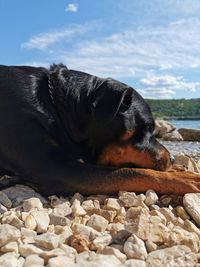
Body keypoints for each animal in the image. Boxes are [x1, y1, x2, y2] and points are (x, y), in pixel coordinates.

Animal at [0, 63, 199, 196]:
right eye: (148, 128)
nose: (172, 159)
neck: (57, 108)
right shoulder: (54, 167)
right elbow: (131, 173)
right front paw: (187, 178)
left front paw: (180, 170)